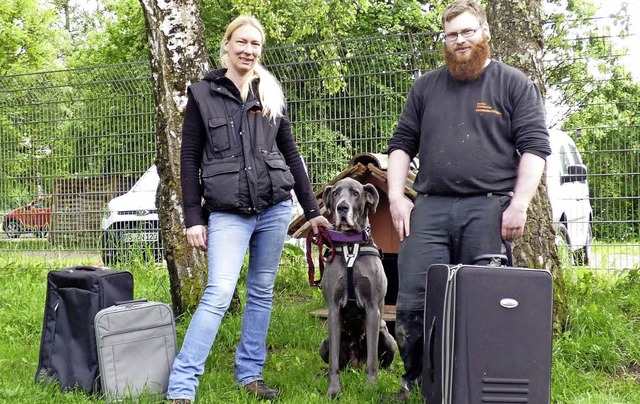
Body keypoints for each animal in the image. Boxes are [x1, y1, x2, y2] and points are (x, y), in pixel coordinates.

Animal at [318, 178, 398, 398]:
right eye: (335, 193)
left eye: (355, 193)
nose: (342, 208)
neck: (351, 245)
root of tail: (356, 365)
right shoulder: (334, 309)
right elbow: (334, 362)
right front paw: (333, 390)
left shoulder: (372, 308)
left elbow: (372, 359)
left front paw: (370, 387)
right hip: (324, 344)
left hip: (388, 338)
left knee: (382, 361)